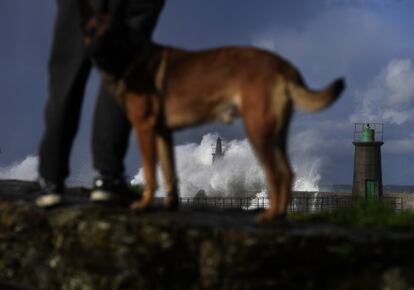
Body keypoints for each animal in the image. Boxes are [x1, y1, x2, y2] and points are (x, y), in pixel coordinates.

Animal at [79, 2, 344, 222]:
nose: (90, 54)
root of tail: (284, 67)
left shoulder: (146, 126)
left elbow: (153, 173)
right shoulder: (162, 131)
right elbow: (167, 172)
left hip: (259, 128)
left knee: (279, 173)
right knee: (284, 172)